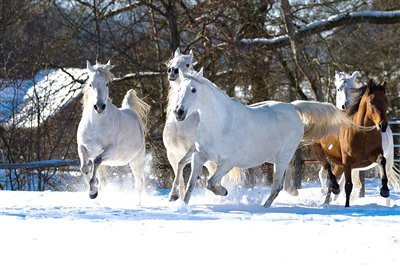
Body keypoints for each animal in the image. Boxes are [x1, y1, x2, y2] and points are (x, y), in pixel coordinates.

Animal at [76, 60, 150, 200]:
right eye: (90, 84)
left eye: (106, 83)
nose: (99, 107)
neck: (95, 125)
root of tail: (130, 110)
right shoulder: (82, 148)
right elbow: (84, 168)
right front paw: (92, 191)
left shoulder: (110, 150)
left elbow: (96, 160)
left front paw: (93, 191)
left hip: (136, 161)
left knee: (139, 184)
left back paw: (138, 203)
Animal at [163, 48, 244, 202]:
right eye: (171, 62)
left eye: (188, 64)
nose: (172, 71)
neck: (181, 125)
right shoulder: (172, 153)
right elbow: (179, 169)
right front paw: (174, 196)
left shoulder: (193, 149)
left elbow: (183, 165)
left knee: (218, 175)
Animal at [173, 70, 358, 206]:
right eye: (179, 90)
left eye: (193, 90)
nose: (178, 112)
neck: (220, 124)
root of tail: (292, 107)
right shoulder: (199, 156)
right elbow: (191, 185)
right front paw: (183, 206)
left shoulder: (229, 161)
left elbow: (210, 183)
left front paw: (223, 191)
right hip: (273, 158)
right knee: (286, 175)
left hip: (282, 157)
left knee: (277, 186)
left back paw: (264, 207)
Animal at [318, 70, 400, 200]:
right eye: (338, 89)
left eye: (386, 101)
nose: (345, 105)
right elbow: (323, 174)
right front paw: (325, 193)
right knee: (356, 184)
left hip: (387, 161)